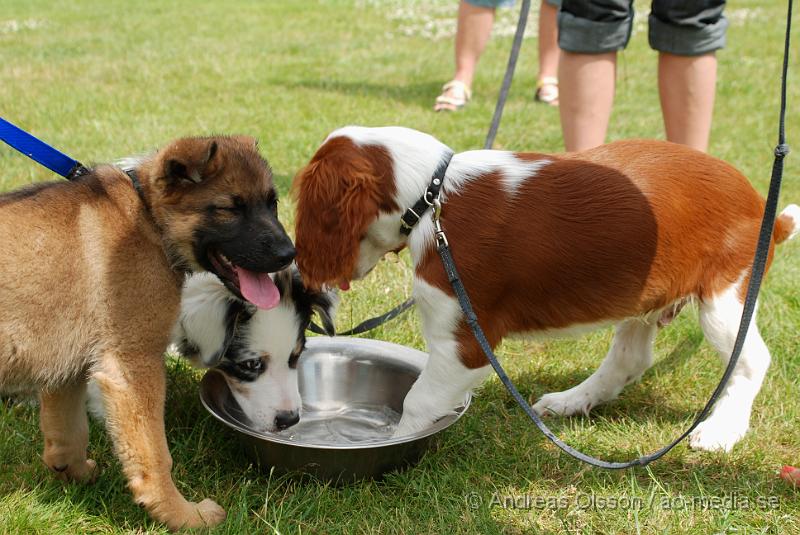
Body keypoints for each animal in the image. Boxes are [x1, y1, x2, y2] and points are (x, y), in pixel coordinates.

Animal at [0, 135, 296, 532]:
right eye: (229, 209)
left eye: (272, 203)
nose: (289, 254)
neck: (149, 217)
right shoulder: (133, 364)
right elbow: (155, 454)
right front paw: (182, 514)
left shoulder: (69, 366)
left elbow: (69, 431)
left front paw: (73, 471)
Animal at [294, 127, 800, 454]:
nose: (301, 268)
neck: (432, 196)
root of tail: (763, 207)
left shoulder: (462, 341)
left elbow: (417, 400)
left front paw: (391, 441)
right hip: (645, 291)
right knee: (630, 359)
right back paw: (574, 400)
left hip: (725, 295)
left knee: (752, 360)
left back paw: (722, 429)